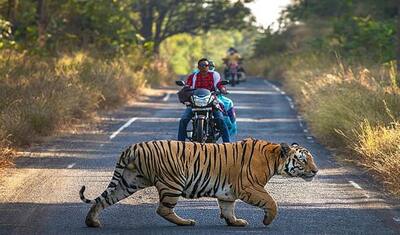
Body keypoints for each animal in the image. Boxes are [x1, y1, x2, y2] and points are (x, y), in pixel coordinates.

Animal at [79, 139, 318, 227]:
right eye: (303, 160)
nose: (316, 171)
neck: (274, 158)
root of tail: (133, 147)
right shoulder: (249, 187)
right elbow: (271, 202)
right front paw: (268, 220)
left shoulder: (228, 192)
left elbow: (228, 208)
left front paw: (235, 222)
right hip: (172, 182)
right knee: (163, 209)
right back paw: (186, 222)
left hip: (129, 181)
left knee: (104, 199)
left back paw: (92, 222)